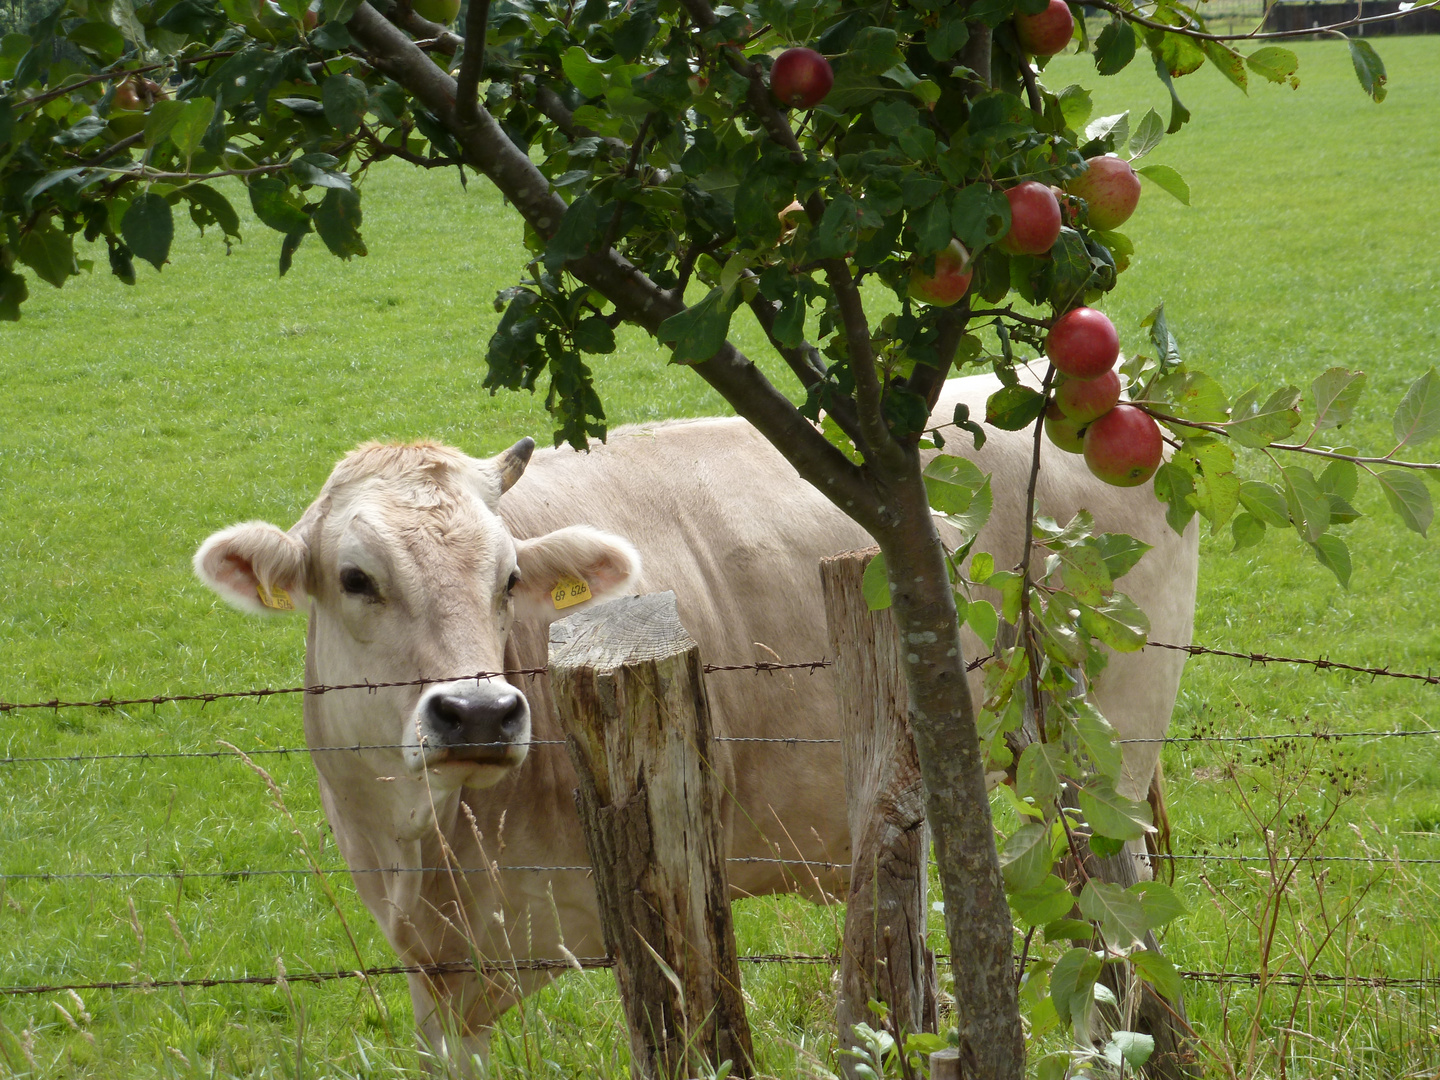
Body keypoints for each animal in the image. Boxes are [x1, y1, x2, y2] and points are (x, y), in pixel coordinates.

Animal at [194, 377, 1203, 1071]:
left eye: (509, 578)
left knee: (1117, 943)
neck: (436, 846)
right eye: (356, 577)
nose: (477, 712)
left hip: (1102, 765)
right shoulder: (435, 980)